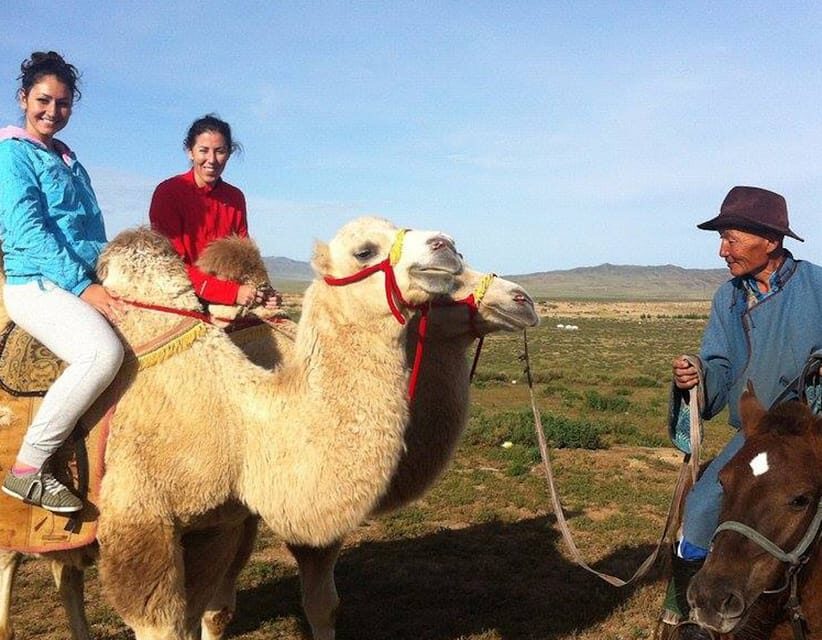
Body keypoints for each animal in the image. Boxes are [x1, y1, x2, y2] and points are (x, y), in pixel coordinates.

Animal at [0, 218, 462, 640]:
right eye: (365, 250)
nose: (447, 245)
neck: (236, 420)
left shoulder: (213, 526)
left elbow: (201, 615)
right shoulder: (140, 520)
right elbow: (162, 625)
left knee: (65, 571)